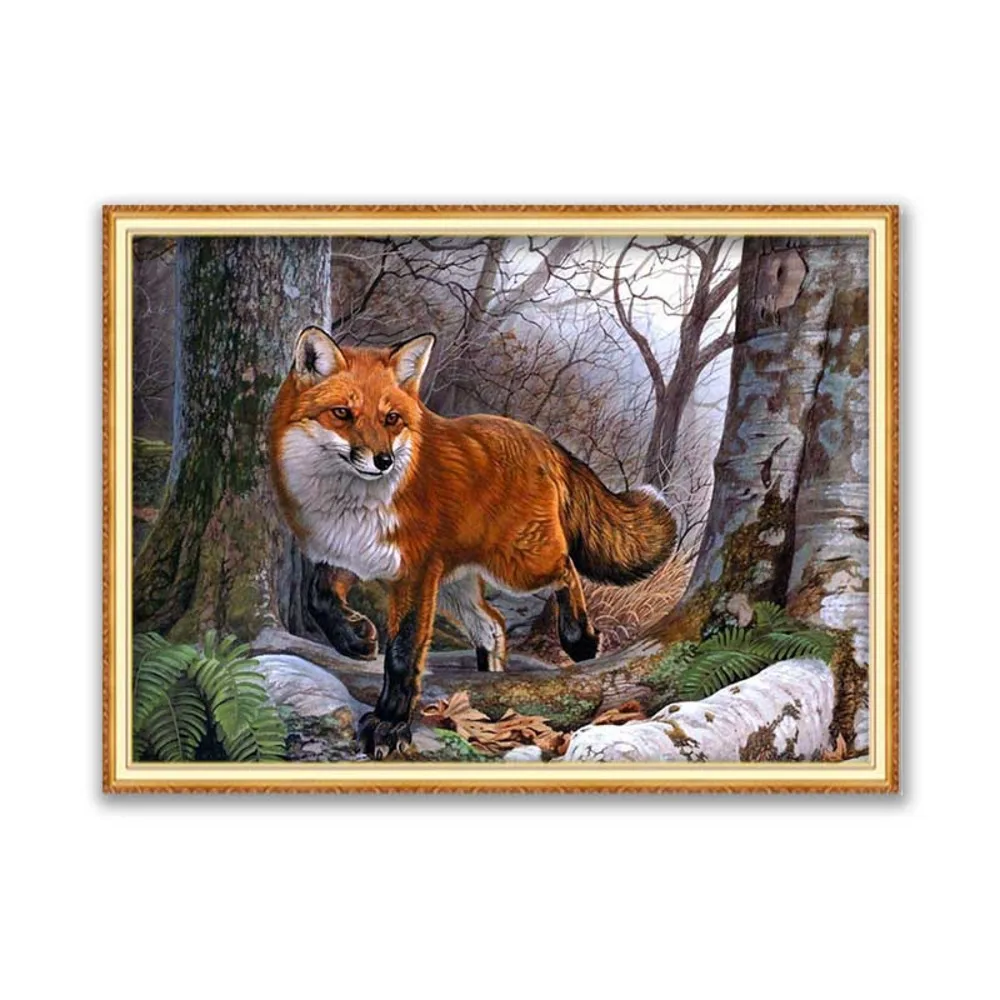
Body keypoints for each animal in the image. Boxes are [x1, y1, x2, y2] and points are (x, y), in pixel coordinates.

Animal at [269, 326, 676, 758]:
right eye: (342, 414)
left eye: (391, 419)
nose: (383, 461)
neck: (350, 505)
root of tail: (540, 438)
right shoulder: (352, 553)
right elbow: (318, 597)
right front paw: (355, 639)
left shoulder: (414, 573)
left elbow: (402, 653)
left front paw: (389, 724)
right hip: (454, 583)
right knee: (492, 625)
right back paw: (491, 679)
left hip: (517, 565)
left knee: (566, 570)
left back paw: (580, 639)